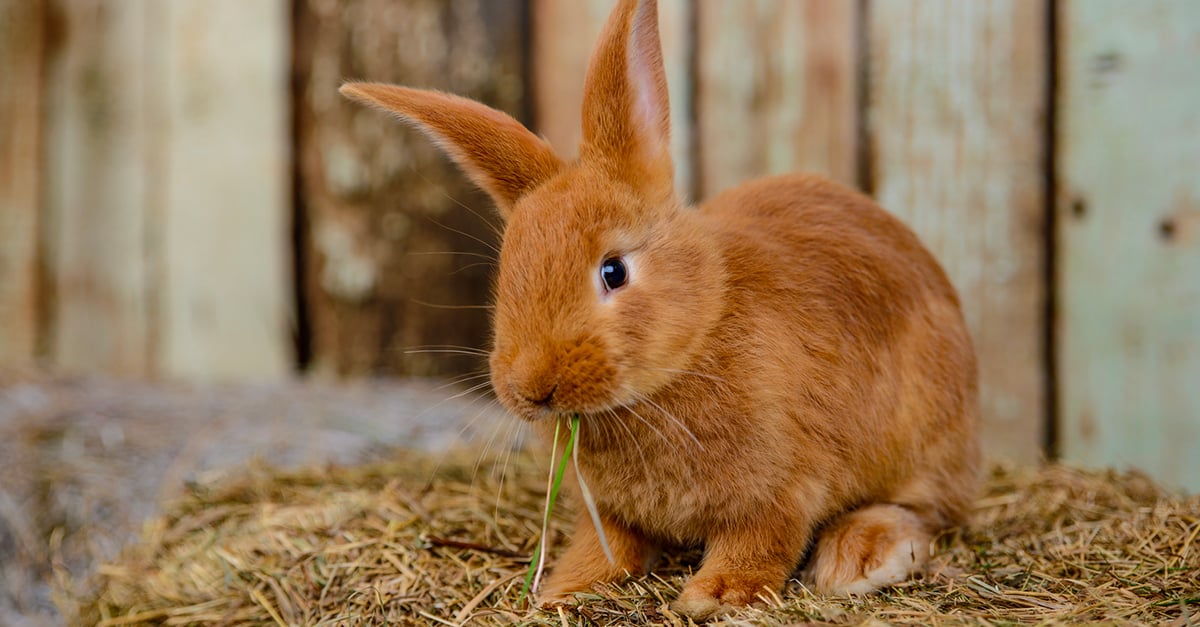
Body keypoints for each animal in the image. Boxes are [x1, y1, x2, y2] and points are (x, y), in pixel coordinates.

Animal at [343, 0, 979, 614]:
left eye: (613, 271)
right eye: (507, 274)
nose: (531, 389)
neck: (698, 335)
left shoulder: (783, 490)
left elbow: (761, 540)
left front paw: (715, 596)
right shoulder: (607, 511)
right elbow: (610, 545)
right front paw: (565, 589)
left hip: (926, 436)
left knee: (928, 510)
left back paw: (859, 559)